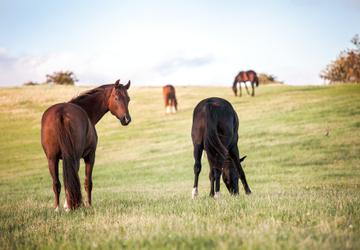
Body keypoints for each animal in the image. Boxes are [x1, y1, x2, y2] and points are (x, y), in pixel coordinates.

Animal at [41, 79, 131, 211]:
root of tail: (61, 113)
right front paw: (88, 204)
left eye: (128, 99)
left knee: (56, 183)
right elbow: (88, 182)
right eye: (116, 97)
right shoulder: (90, 156)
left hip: (52, 159)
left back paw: (58, 208)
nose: (127, 119)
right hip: (74, 157)